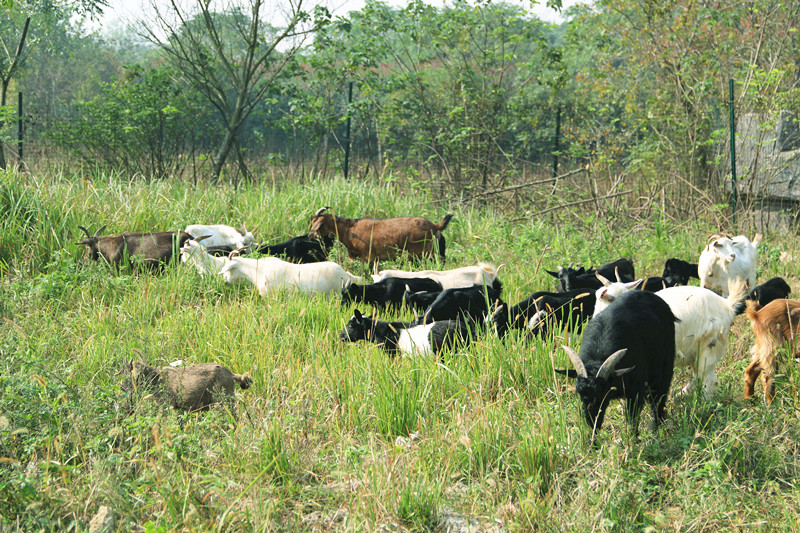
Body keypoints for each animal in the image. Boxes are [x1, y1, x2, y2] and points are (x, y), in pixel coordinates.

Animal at [122, 360, 252, 414]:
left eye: (130, 374)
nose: (122, 387)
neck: (155, 377)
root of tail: (231, 375)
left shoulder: (166, 405)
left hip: (223, 401)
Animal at [308, 206, 454, 264]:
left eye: (315, 223)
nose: (309, 236)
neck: (350, 228)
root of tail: (435, 226)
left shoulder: (369, 258)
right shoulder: (353, 257)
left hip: (425, 254)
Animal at [560, 288, 680, 438]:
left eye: (603, 390)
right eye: (579, 391)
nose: (590, 415)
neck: (598, 355)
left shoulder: (635, 389)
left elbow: (632, 416)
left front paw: (633, 439)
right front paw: (592, 441)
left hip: (664, 368)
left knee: (658, 399)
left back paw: (656, 428)